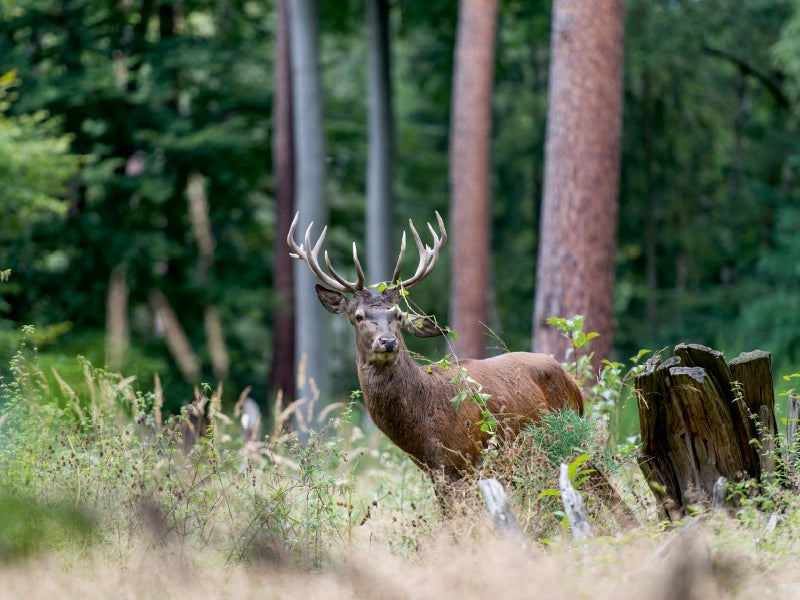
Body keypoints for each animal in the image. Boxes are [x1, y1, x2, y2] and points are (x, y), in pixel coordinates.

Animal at [287, 211, 585, 491]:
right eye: (358, 316)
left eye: (398, 315)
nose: (388, 342)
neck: (423, 431)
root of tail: (574, 383)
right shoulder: (434, 471)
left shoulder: (465, 459)